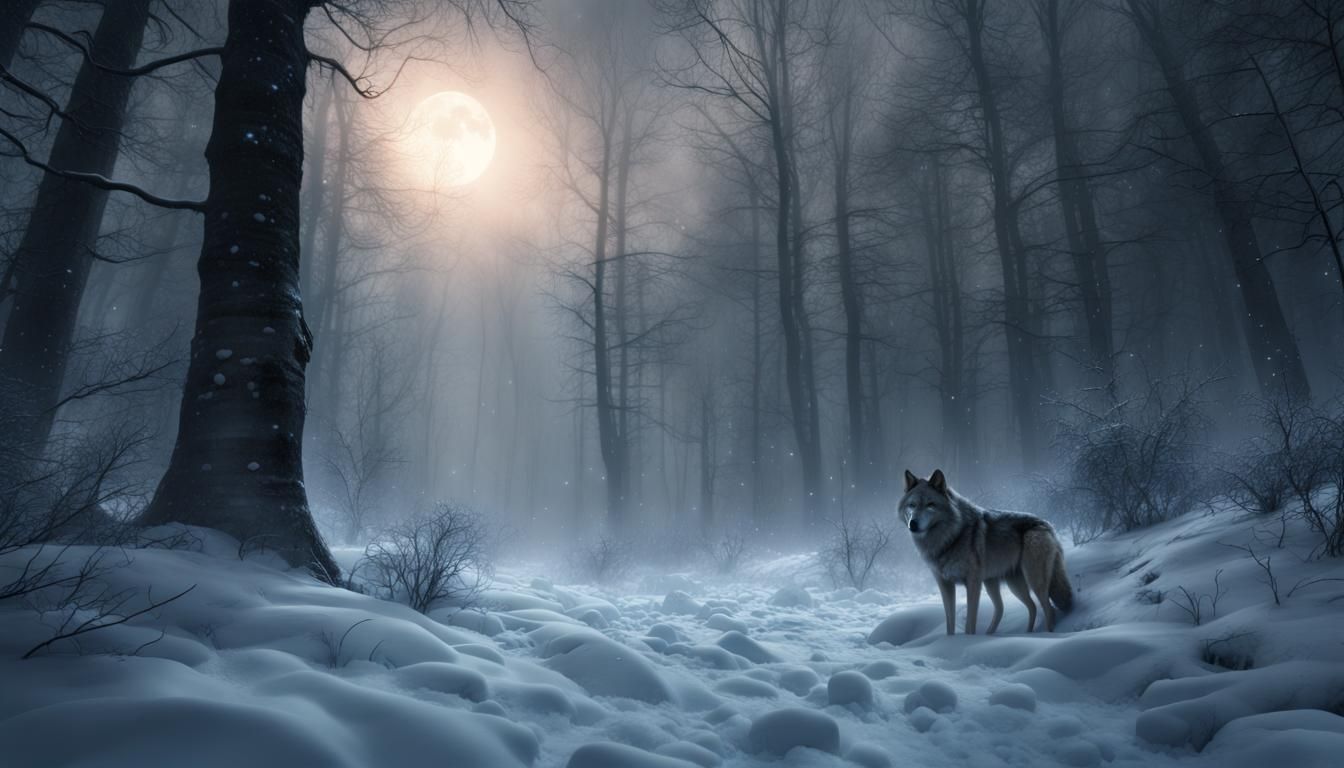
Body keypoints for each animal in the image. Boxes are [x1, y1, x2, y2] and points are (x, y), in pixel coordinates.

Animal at [900, 469, 1073, 634]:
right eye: (912, 505)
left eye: (930, 504)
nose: (913, 524)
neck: (949, 537)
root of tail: (1048, 525)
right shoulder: (945, 585)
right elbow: (950, 625)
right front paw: (952, 642)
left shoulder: (973, 583)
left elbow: (970, 624)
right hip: (1003, 584)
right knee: (1022, 607)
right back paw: (1016, 634)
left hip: (1033, 581)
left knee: (1048, 609)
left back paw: (1046, 635)